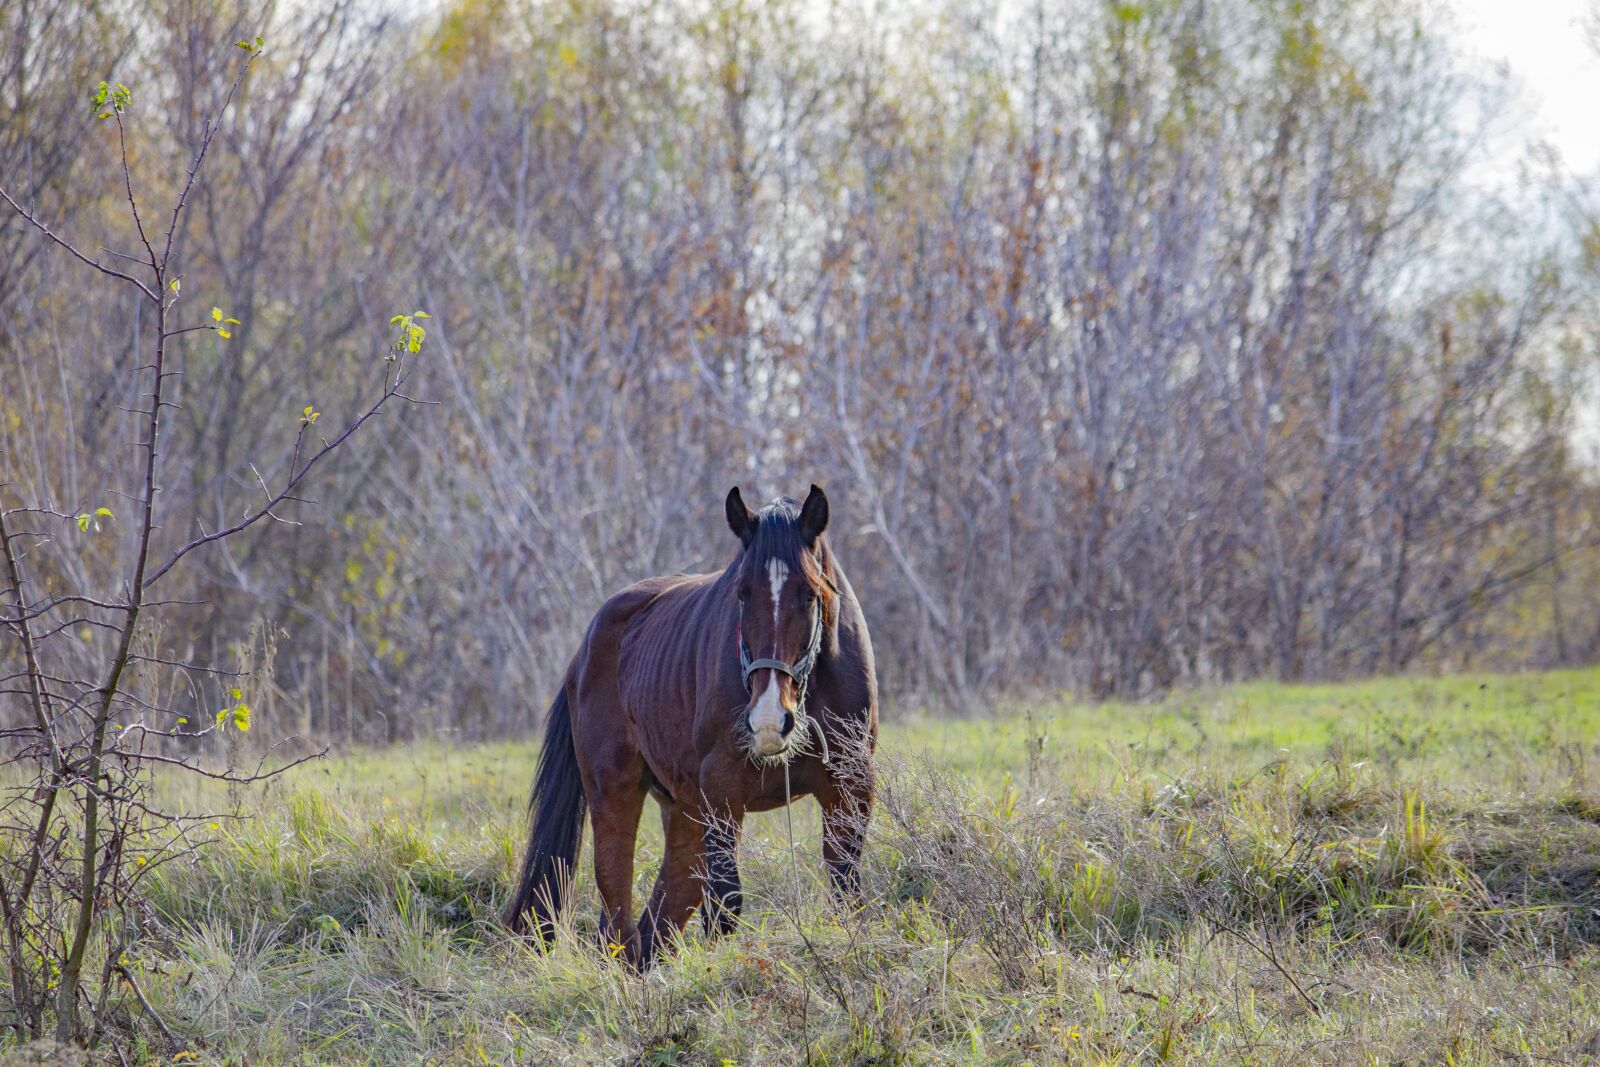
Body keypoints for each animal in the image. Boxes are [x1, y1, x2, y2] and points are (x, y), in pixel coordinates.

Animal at [505, 483, 883, 966]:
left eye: (810, 594)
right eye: (741, 592)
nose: (768, 721)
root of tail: (585, 648)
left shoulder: (851, 787)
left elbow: (844, 889)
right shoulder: (723, 789)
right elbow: (724, 904)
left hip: (683, 809)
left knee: (658, 922)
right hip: (615, 790)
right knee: (617, 911)